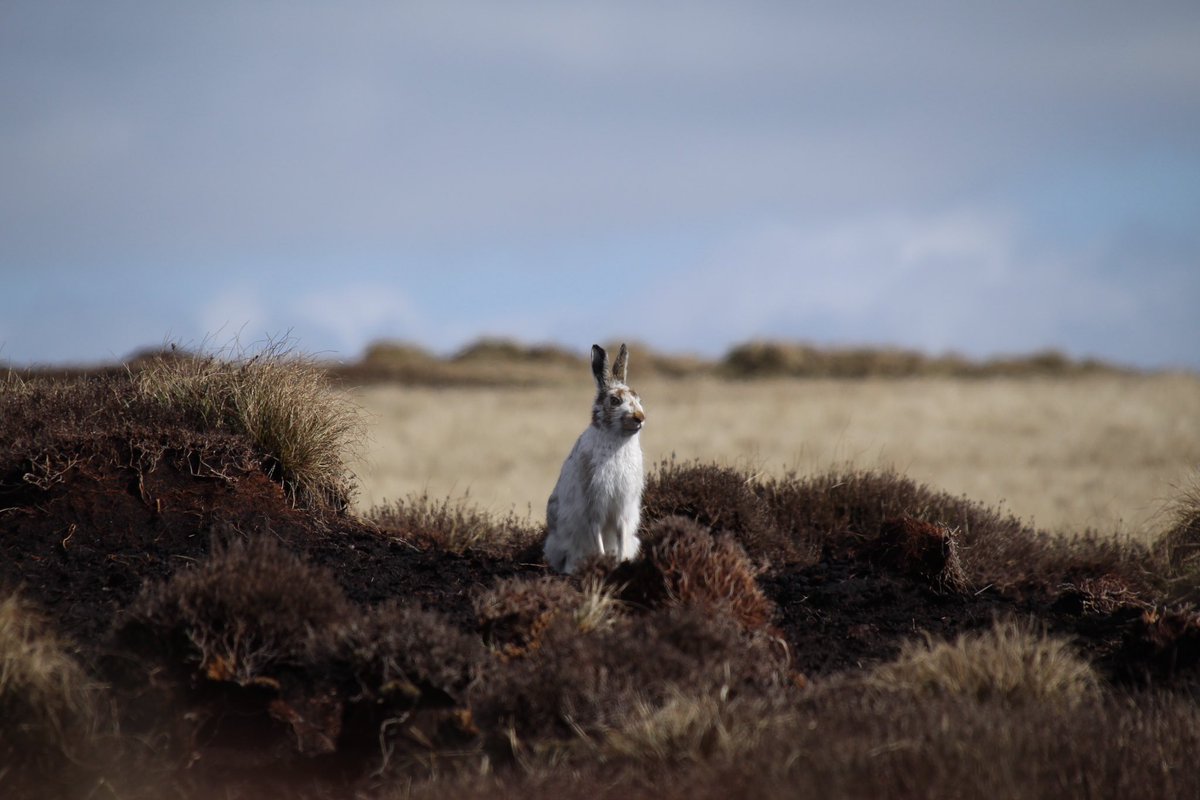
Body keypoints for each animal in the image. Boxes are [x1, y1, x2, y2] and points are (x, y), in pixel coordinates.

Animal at [544, 343, 646, 574]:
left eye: (638, 399)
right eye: (615, 401)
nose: (640, 418)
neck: (618, 440)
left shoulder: (623, 507)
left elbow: (621, 534)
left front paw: (620, 562)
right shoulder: (594, 506)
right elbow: (596, 533)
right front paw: (603, 561)